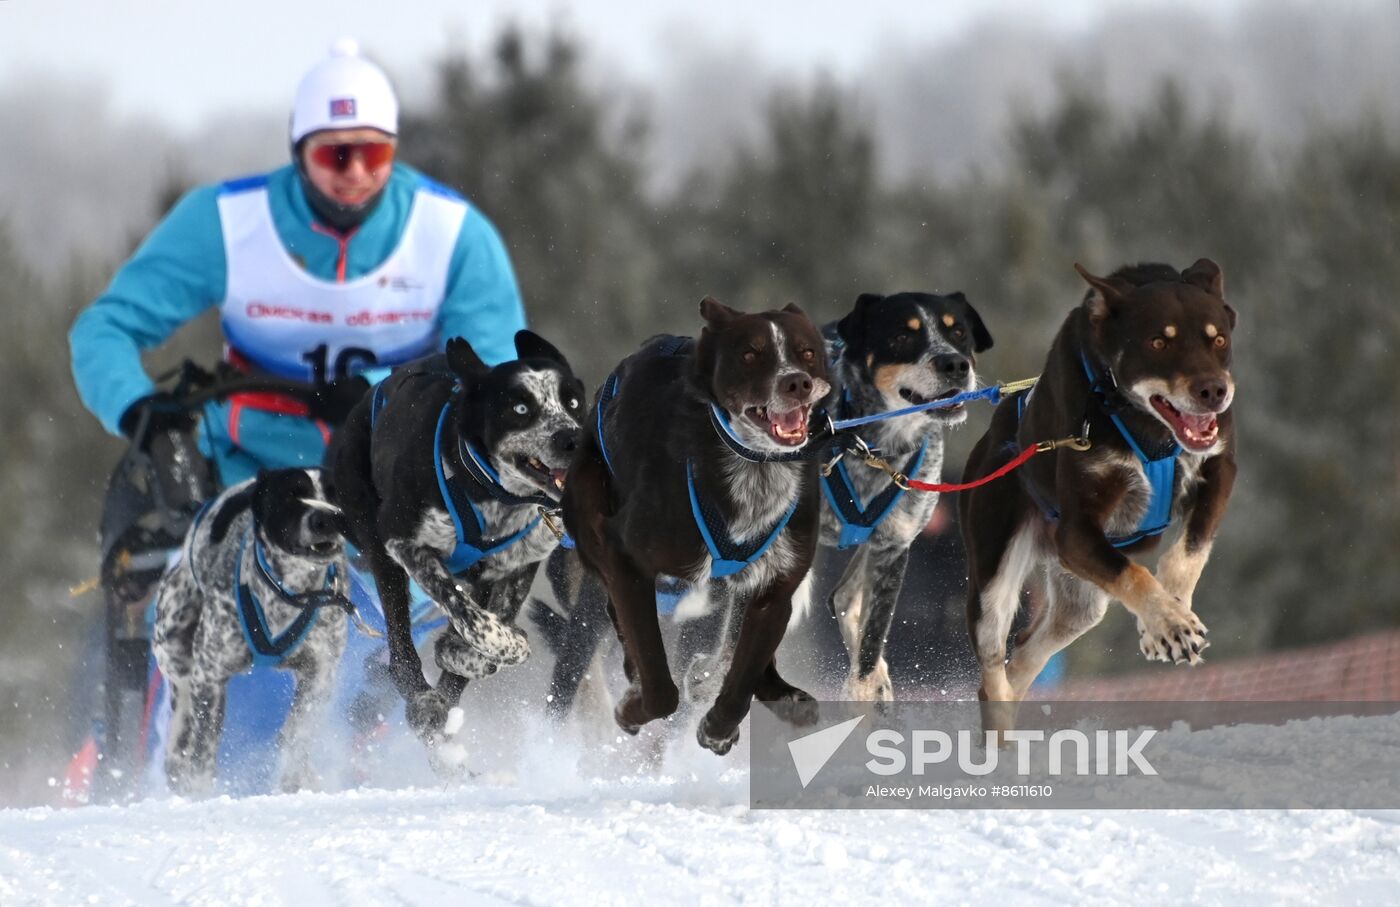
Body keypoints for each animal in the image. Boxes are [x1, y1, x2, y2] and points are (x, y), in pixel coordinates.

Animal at [151, 467, 350, 795]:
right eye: (292, 494)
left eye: (336, 494)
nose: (327, 517)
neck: (288, 594)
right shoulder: (210, 677)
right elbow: (203, 747)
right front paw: (201, 791)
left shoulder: (320, 674)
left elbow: (297, 734)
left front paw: (292, 781)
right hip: (174, 646)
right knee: (181, 709)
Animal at [329, 328, 585, 755]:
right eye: (520, 408)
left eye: (574, 401)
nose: (574, 439)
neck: (493, 494)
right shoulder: (405, 543)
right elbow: (470, 618)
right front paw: (503, 645)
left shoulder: (516, 567)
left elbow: (484, 628)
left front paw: (459, 655)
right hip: (379, 549)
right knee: (400, 653)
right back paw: (423, 701)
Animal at [562, 298, 828, 750]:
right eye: (750, 354)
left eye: (807, 352)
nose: (797, 383)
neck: (754, 466)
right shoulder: (626, 561)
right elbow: (658, 682)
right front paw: (633, 707)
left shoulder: (776, 588)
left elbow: (742, 678)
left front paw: (719, 726)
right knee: (620, 619)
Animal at [963, 260, 1237, 716]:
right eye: (1158, 341)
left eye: (1218, 338)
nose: (1214, 391)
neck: (1142, 426)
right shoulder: (1077, 533)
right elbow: (1135, 574)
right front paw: (1170, 624)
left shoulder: (1219, 470)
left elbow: (1191, 551)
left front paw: (1170, 614)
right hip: (995, 580)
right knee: (993, 672)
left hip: (1080, 604)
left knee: (1024, 656)